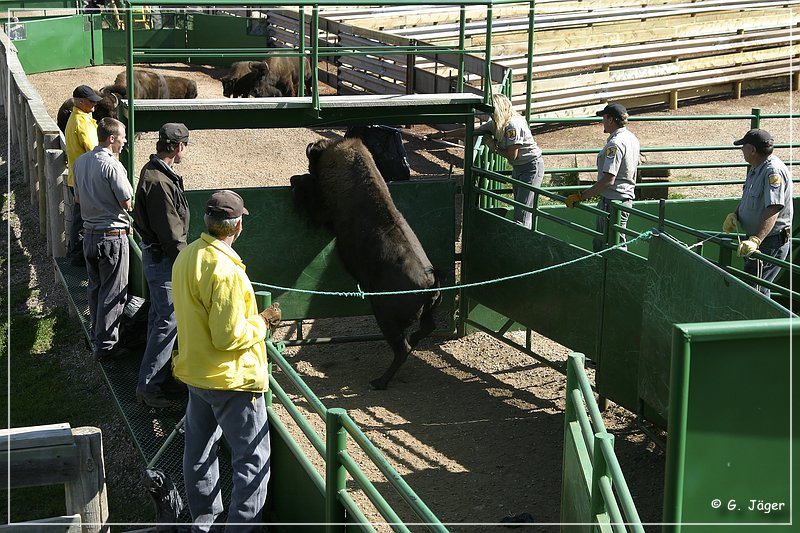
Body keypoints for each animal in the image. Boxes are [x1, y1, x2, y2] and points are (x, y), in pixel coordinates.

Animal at [292, 135, 444, 388]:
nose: (300, 174)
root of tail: (429, 283)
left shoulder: (322, 212)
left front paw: (296, 181)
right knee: (426, 329)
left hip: (384, 316)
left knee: (402, 349)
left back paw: (379, 382)